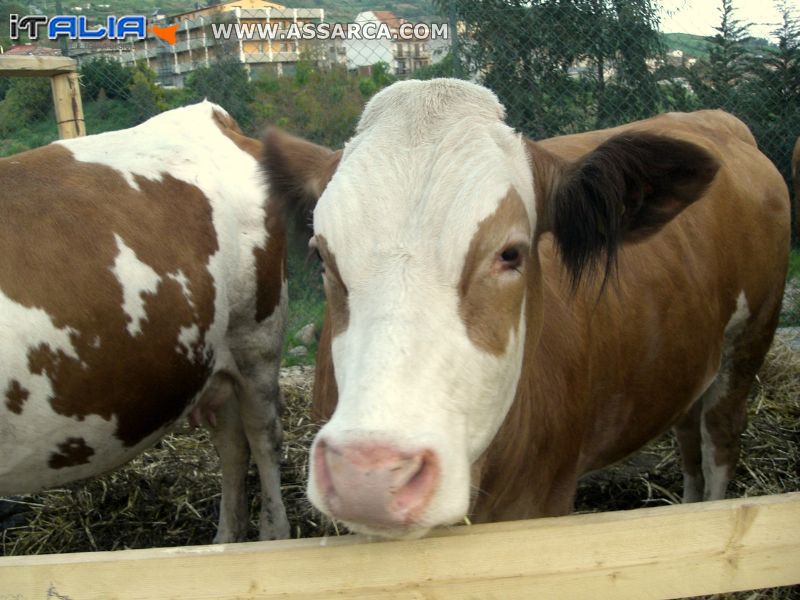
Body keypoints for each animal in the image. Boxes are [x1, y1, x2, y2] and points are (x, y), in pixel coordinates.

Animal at [1, 103, 290, 544]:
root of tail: (209, 115)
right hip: (212, 360)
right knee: (231, 444)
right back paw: (224, 542)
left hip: (256, 337)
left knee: (263, 437)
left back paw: (273, 535)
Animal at [264, 78, 792, 540]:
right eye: (320, 254)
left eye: (511, 253)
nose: (370, 475)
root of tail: (718, 119)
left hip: (748, 346)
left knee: (719, 442)